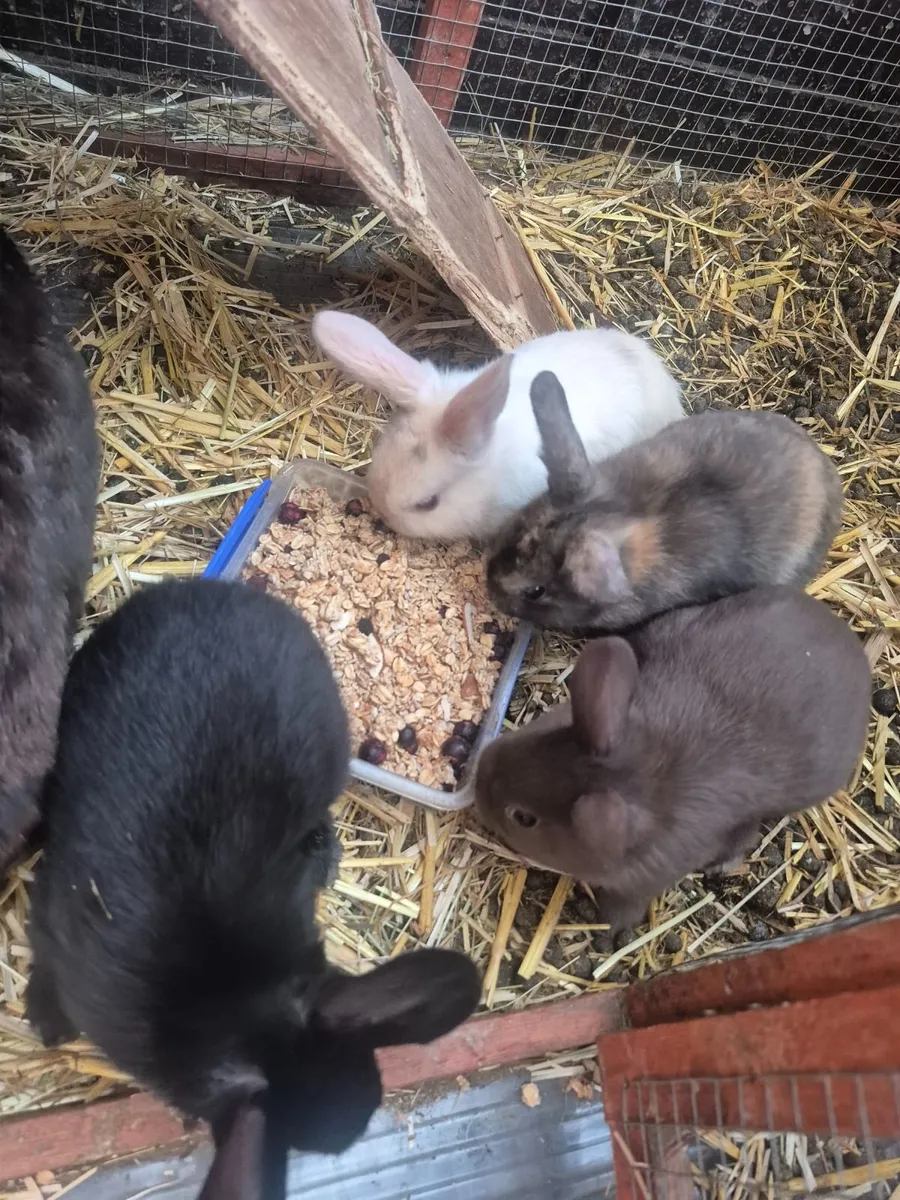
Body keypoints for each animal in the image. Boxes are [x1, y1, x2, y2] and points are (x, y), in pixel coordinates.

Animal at [474, 585, 870, 933]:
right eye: (538, 735)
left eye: (524, 818)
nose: (479, 775)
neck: (645, 773)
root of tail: (848, 640)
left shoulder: (644, 881)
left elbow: (625, 908)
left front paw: (608, 930)